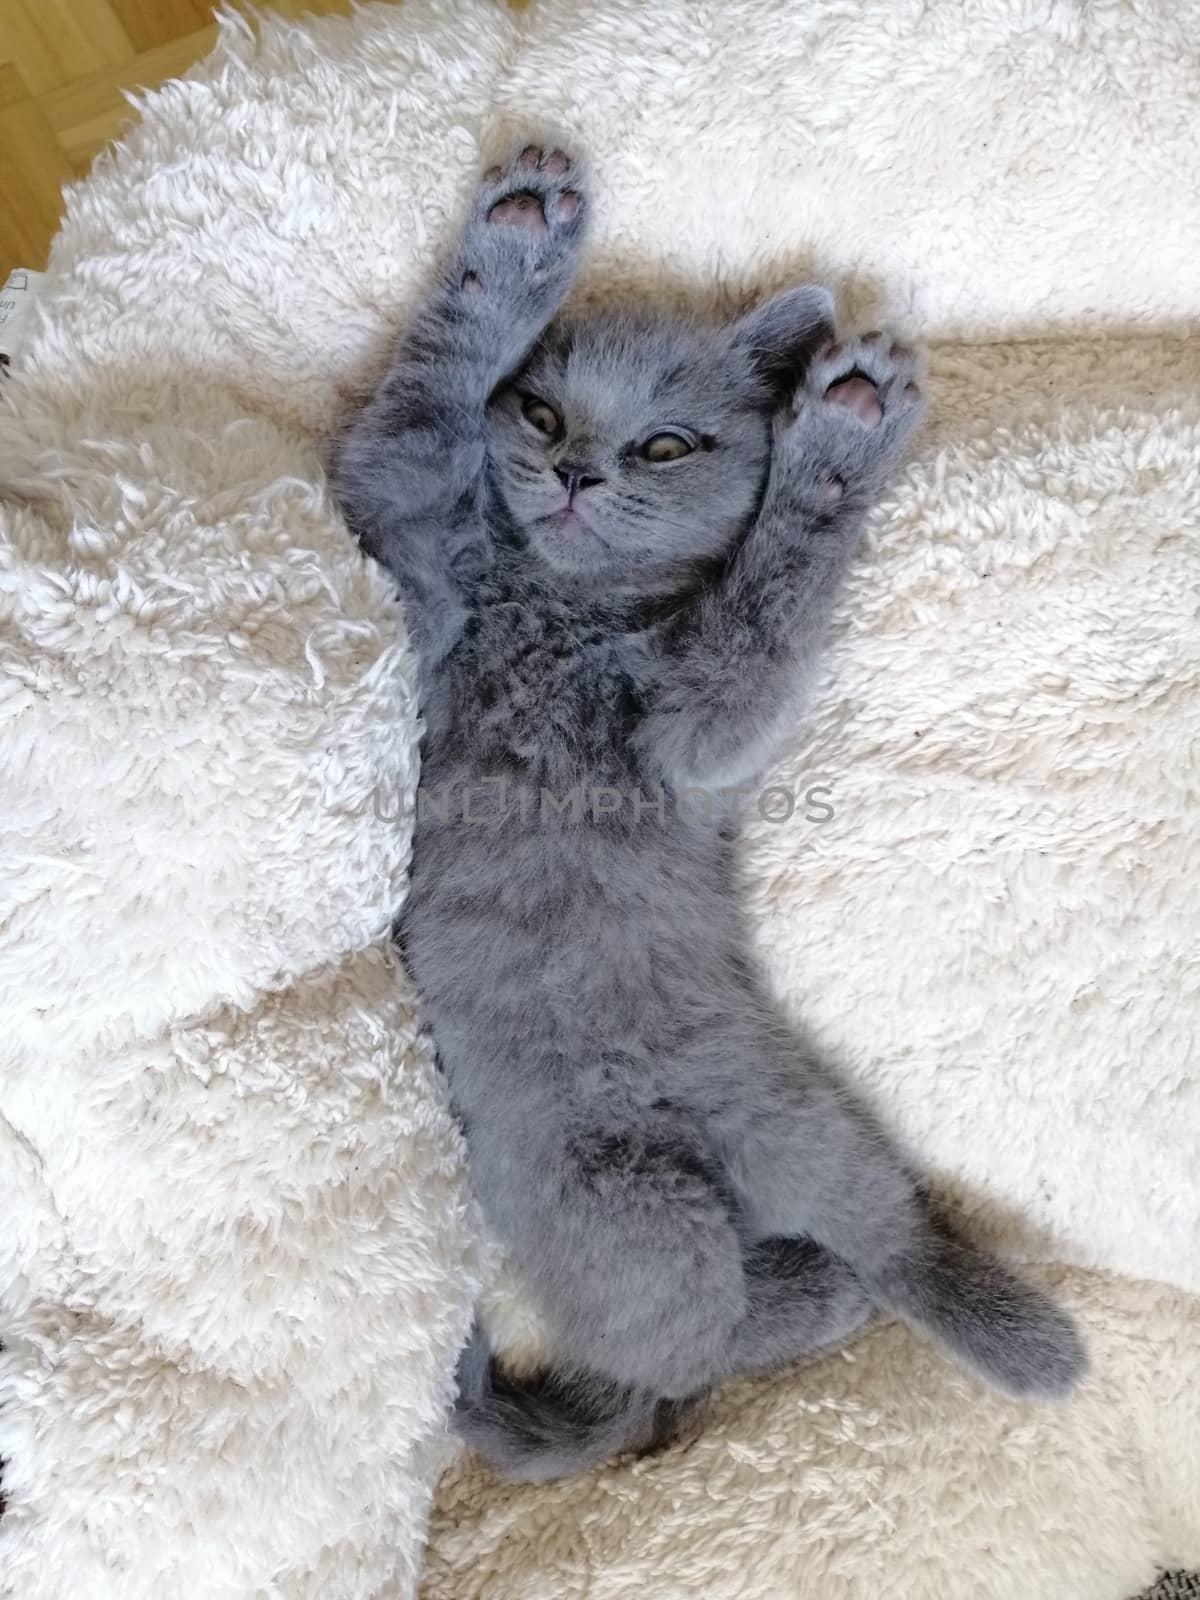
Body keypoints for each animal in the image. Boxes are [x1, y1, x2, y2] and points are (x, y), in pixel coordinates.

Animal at [331, 144, 1088, 1478]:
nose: (573, 470)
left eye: (668, 445)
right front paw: (514, 244)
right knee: (692, 1339)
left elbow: (761, 610)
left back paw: (996, 1332)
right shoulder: (405, 529)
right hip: (615, 1208)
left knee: (858, 1250)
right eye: (540, 414)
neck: (563, 606)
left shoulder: (695, 733)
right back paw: (846, 1303)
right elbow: (422, 405)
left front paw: (835, 446)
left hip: (792, 1119)